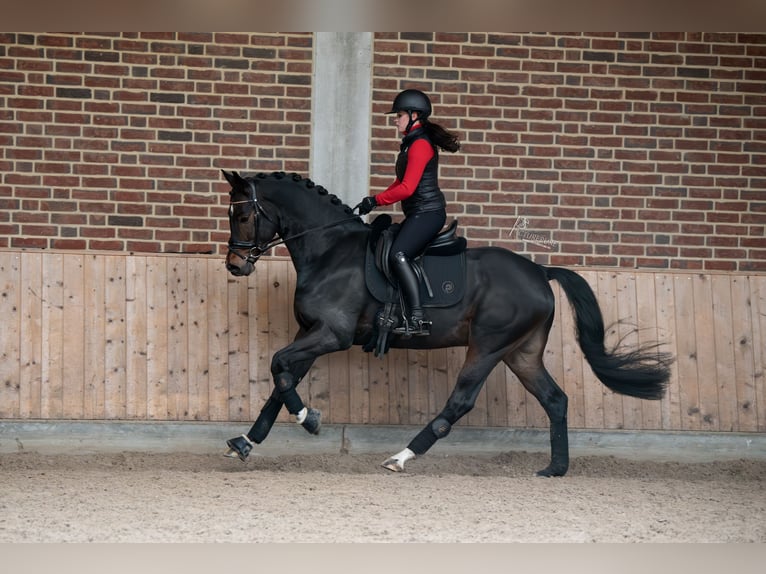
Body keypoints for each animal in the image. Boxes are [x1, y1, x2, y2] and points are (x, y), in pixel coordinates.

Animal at [220, 170, 672, 476]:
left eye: (241, 217)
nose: (235, 266)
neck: (330, 251)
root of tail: (539, 271)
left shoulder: (332, 334)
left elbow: (279, 367)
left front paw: (309, 419)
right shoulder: (311, 332)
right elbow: (281, 382)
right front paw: (246, 442)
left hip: (488, 346)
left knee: (461, 401)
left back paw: (402, 457)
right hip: (521, 353)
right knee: (555, 399)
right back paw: (554, 469)